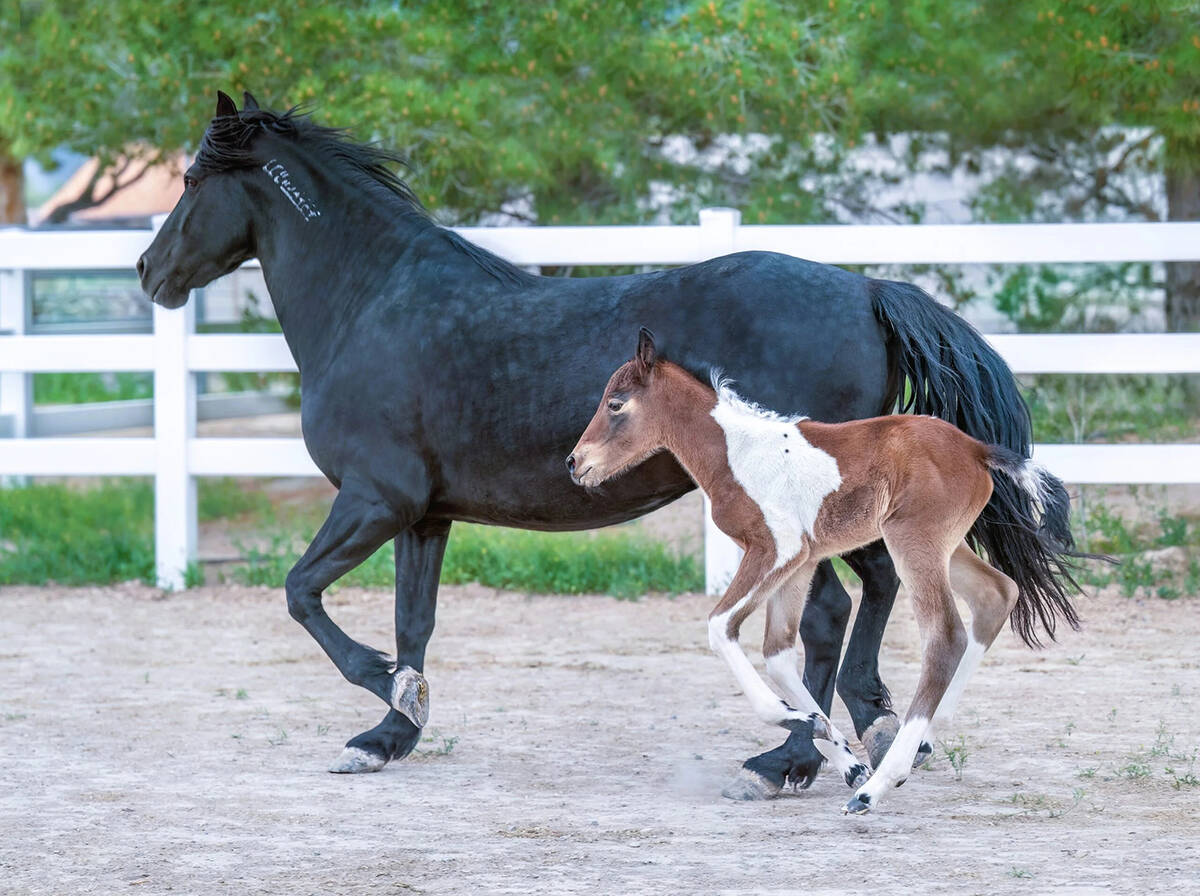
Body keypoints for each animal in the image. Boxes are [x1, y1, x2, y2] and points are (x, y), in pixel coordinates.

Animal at [566, 328, 1075, 810]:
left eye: (615, 403)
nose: (575, 462)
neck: (735, 453)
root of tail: (975, 449)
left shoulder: (776, 551)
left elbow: (719, 626)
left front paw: (797, 725)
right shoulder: (800, 564)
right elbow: (778, 653)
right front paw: (833, 746)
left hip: (915, 543)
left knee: (945, 636)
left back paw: (876, 788)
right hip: (947, 547)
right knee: (997, 594)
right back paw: (917, 748)